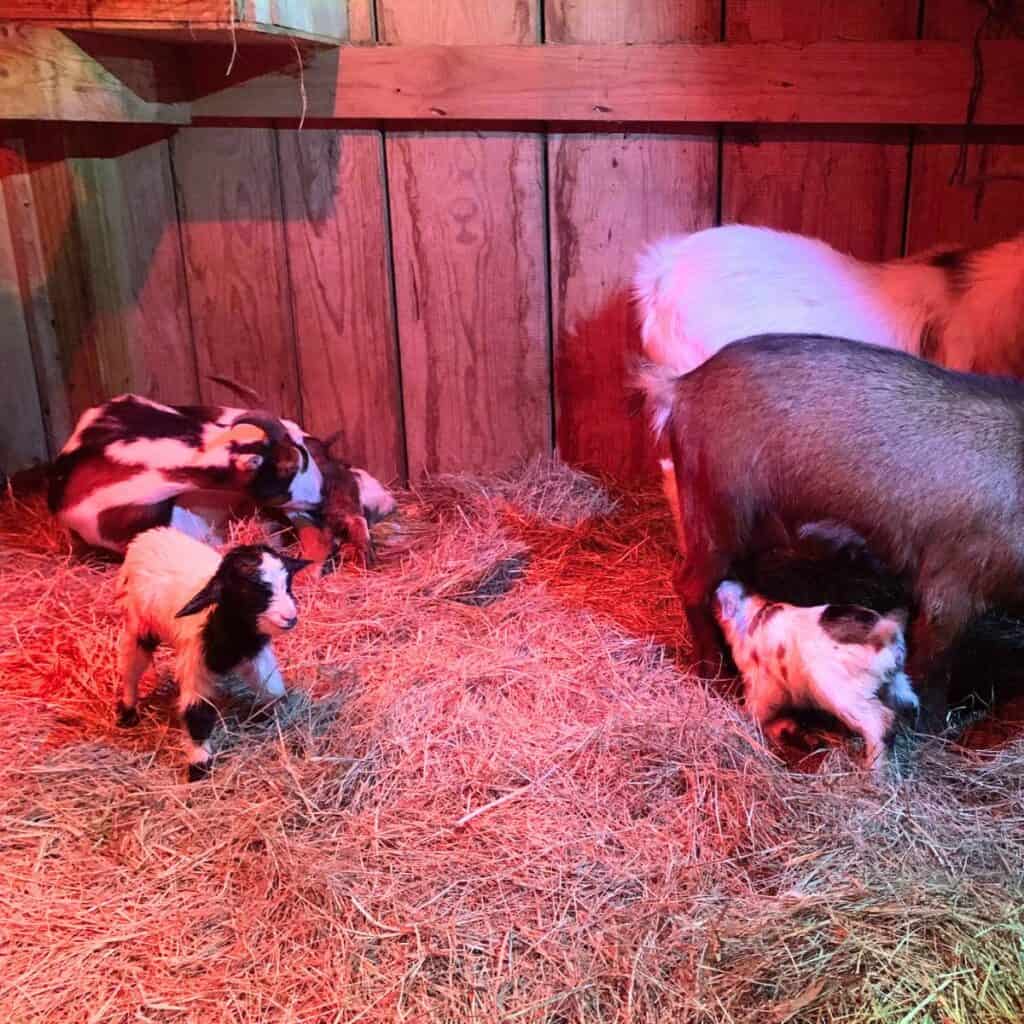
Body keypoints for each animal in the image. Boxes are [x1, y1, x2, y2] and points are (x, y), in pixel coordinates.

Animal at [114, 528, 309, 782]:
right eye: (253, 590)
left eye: (288, 584)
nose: (290, 617)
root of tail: (146, 536)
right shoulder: (195, 662)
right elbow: (197, 711)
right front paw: (199, 764)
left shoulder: (256, 655)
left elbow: (272, 689)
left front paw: (271, 715)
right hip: (138, 624)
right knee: (131, 665)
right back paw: (128, 710)